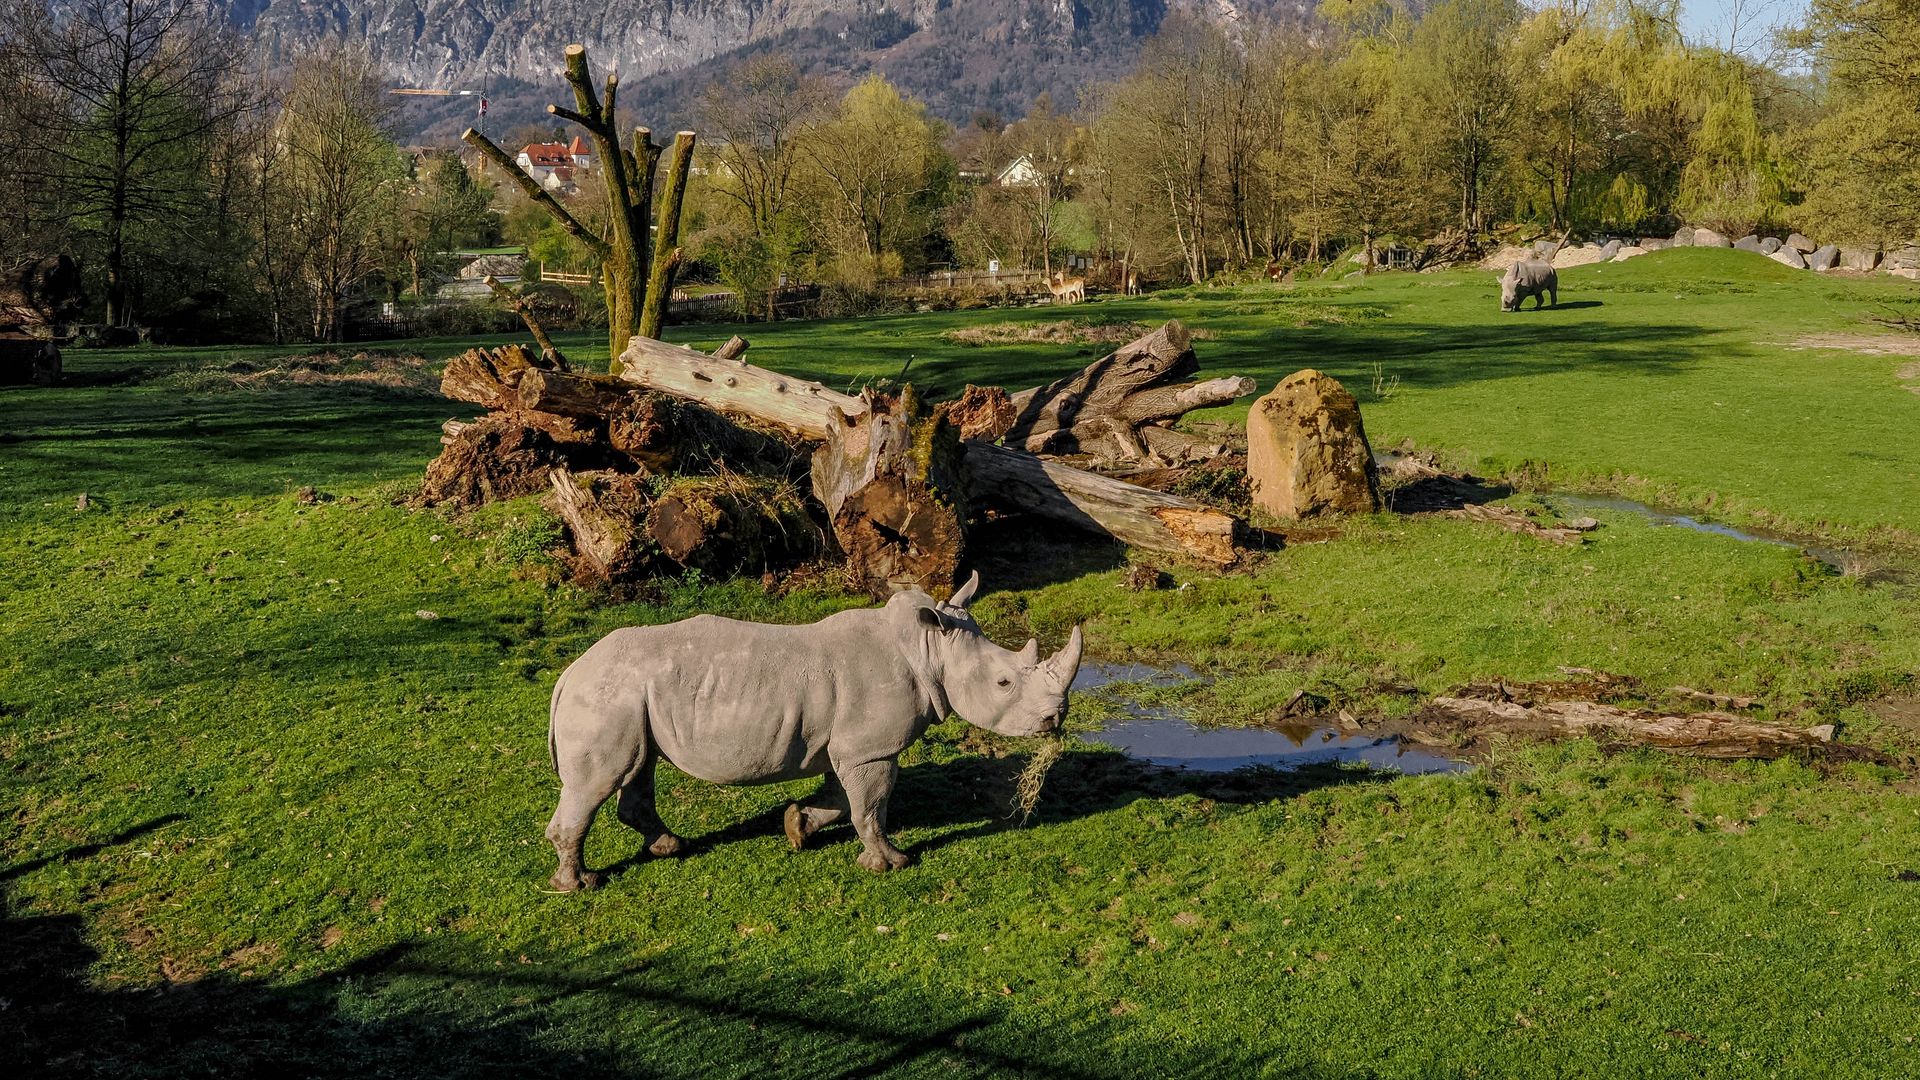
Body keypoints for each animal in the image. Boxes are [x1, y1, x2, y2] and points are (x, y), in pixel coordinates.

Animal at [543, 572, 1085, 890]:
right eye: (1004, 682)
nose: (1054, 720)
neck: (931, 647)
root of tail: (570, 672)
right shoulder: (871, 749)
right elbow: (871, 806)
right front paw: (892, 863)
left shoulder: (850, 746)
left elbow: (842, 800)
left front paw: (797, 827)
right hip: (608, 696)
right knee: (599, 783)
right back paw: (580, 884)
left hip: (629, 698)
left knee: (638, 768)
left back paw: (669, 847)